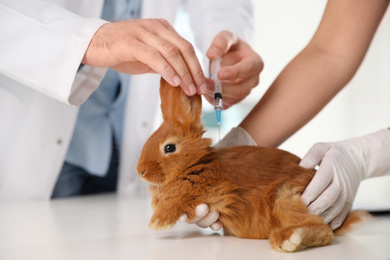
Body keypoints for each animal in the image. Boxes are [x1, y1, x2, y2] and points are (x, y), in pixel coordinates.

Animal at [136, 78, 368, 253]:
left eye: (169, 148)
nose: (141, 171)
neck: (195, 164)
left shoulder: (214, 192)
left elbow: (179, 200)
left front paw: (158, 221)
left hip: (284, 196)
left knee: (321, 230)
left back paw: (288, 238)